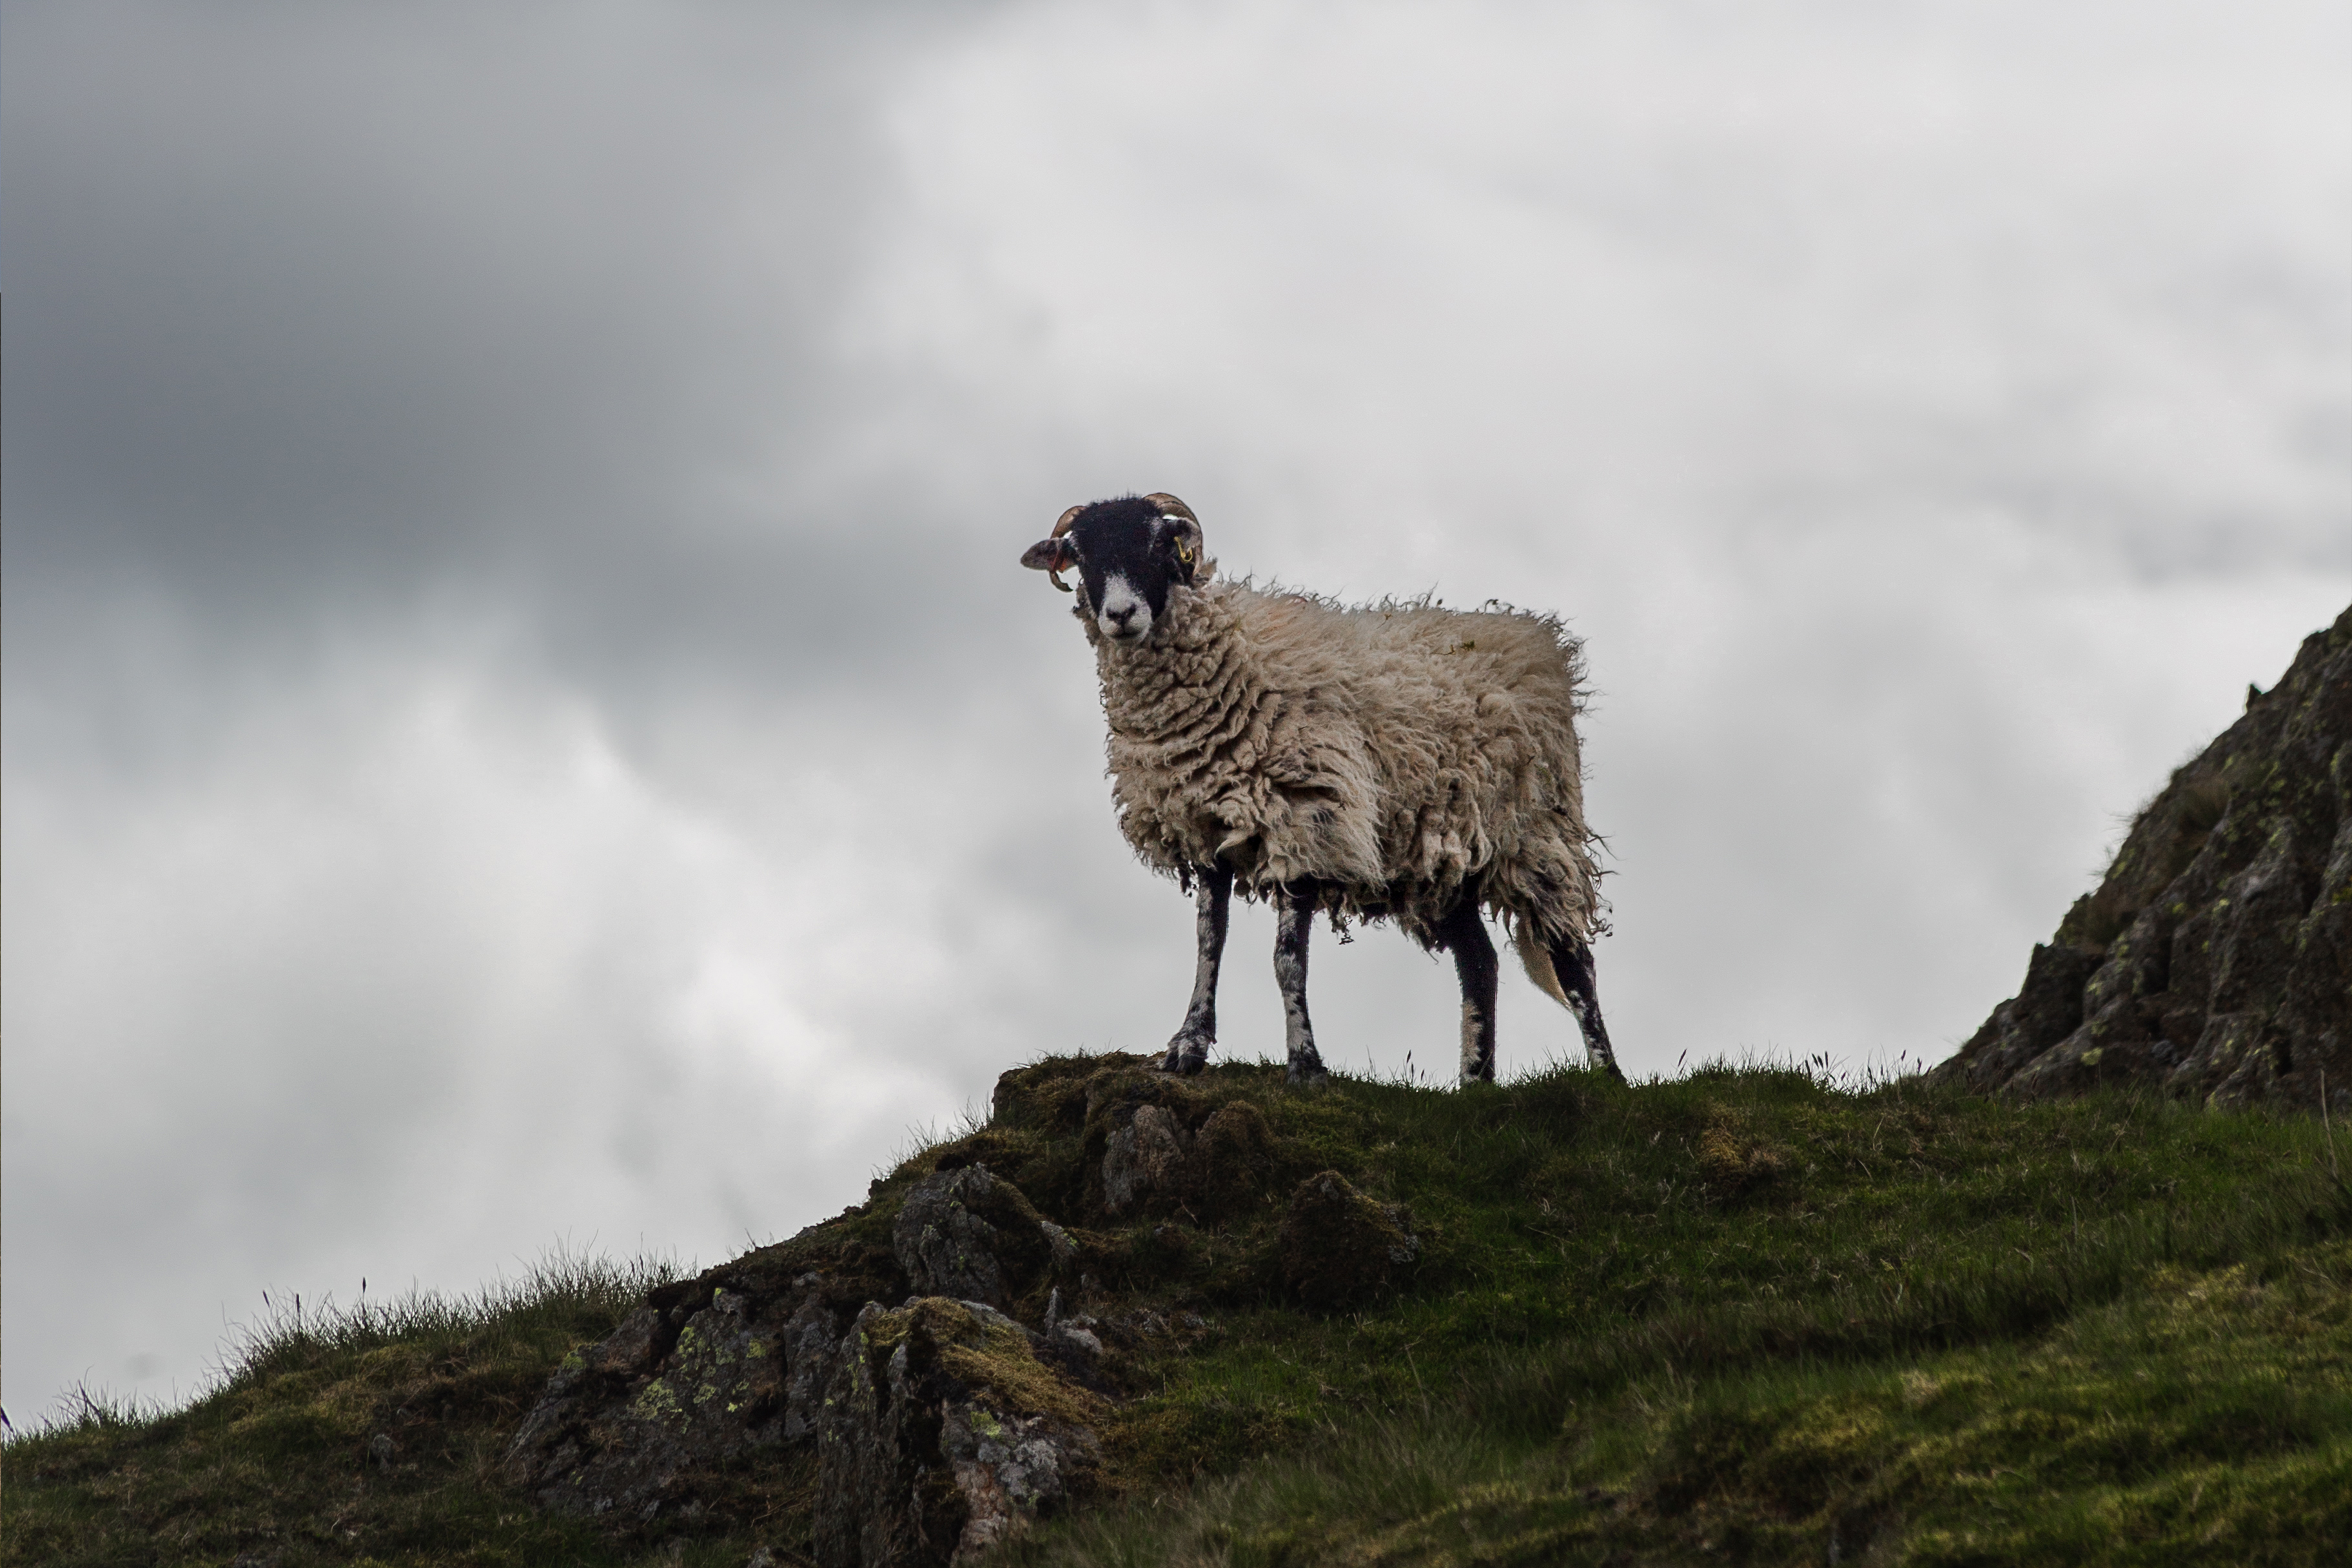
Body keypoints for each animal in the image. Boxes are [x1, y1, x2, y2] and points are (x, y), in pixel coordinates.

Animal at [1020, 493, 1622, 1086]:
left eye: (1157, 543)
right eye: (1080, 555)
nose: (1121, 615)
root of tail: (1535, 639)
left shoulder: (1308, 822)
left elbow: (1288, 958)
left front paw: (1305, 1064)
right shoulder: (1209, 829)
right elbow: (1209, 943)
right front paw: (1189, 1046)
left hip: (1536, 835)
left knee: (1573, 958)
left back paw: (1608, 1078)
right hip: (1446, 854)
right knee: (1479, 961)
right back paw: (1475, 1085)